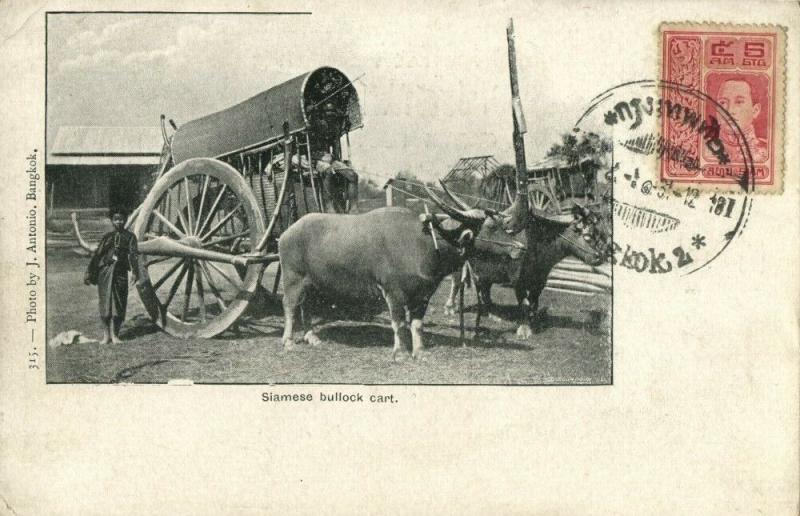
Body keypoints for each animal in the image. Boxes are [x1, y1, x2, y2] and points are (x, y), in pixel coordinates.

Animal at [282, 188, 494, 358]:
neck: (425, 243)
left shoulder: (423, 295)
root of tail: (288, 232)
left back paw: (311, 337)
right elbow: (398, 323)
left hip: (311, 283)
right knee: (290, 306)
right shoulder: (393, 292)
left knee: (306, 305)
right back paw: (288, 341)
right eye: (488, 228)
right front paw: (399, 353)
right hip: (293, 278)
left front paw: (420, 352)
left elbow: (417, 324)